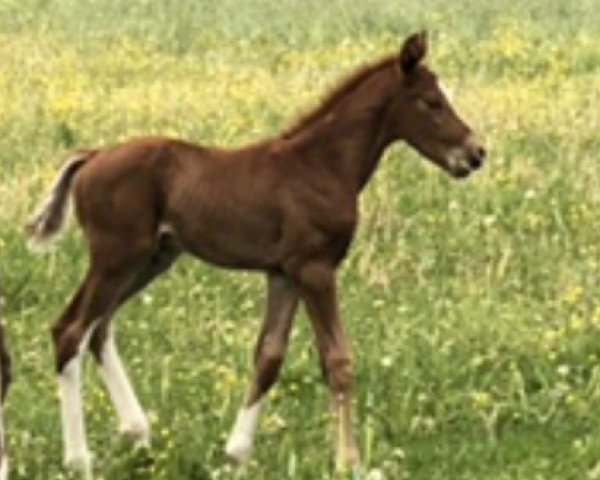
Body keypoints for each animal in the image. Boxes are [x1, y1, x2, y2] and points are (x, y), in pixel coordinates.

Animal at [28, 31, 486, 478]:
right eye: (432, 102)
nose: (476, 152)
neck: (321, 165)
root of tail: (93, 156)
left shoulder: (284, 272)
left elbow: (269, 356)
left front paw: (236, 454)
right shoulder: (315, 268)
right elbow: (337, 360)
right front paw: (349, 462)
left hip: (152, 259)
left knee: (99, 327)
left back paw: (138, 434)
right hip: (116, 256)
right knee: (70, 329)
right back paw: (80, 459)